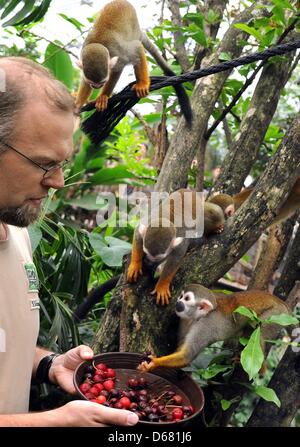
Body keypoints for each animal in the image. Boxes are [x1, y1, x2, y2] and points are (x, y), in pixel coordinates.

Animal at [139, 286, 290, 372]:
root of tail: (282, 303)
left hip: (274, 315)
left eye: (186, 299)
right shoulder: (184, 320)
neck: (198, 317)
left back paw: (261, 370)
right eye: (181, 296)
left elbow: (187, 355)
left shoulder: (205, 326)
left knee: (260, 335)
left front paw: (154, 363)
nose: (178, 302)